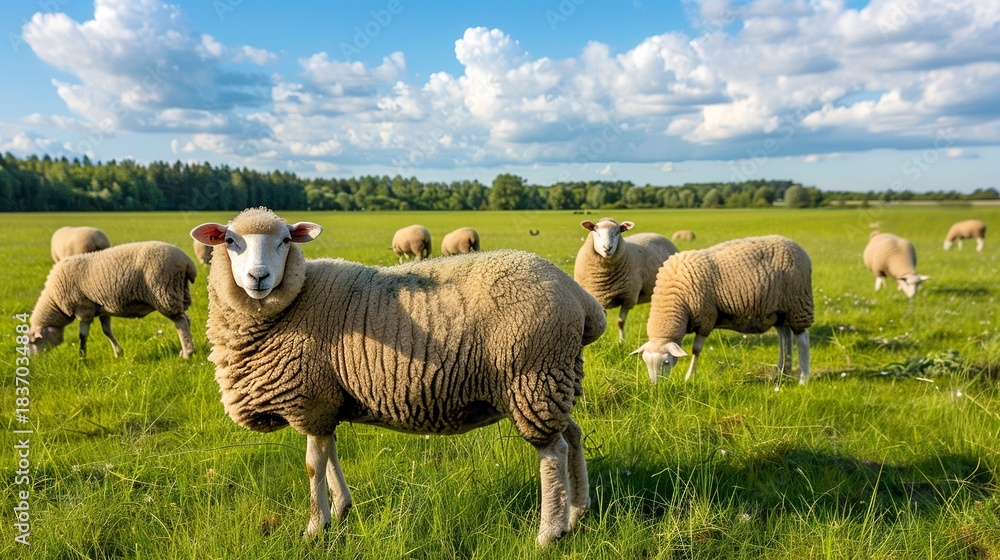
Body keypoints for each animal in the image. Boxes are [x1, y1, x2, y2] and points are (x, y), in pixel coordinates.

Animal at [28, 241, 197, 359]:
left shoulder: (83, 308)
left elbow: (82, 336)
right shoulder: (102, 309)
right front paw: (118, 353)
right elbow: (107, 331)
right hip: (178, 292)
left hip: (164, 294)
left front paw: (82, 356)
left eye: (33, 342)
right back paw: (188, 350)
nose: (33, 360)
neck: (54, 302)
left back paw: (187, 354)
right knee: (186, 319)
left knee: (181, 322)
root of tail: (187, 262)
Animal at [190, 207, 606, 546]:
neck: (293, 302)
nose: (258, 277)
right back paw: (578, 512)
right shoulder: (327, 401)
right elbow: (330, 454)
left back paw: (550, 532)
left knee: (553, 452)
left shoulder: (310, 400)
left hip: (532, 378)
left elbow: (313, 465)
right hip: (555, 379)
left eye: (285, 241)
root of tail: (581, 299)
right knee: (573, 436)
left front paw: (314, 528)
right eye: (230, 241)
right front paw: (341, 509)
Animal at [632, 235, 814, 385]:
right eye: (645, 362)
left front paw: (689, 377)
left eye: (666, 362)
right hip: (780, 310)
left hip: (798, 302)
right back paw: (783, 372)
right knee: (785, 336)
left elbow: (696, 350)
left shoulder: (706, 318)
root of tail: (799, 248)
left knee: (802, 339)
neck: (674, 301)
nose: (655, 386)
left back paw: (803, 379)